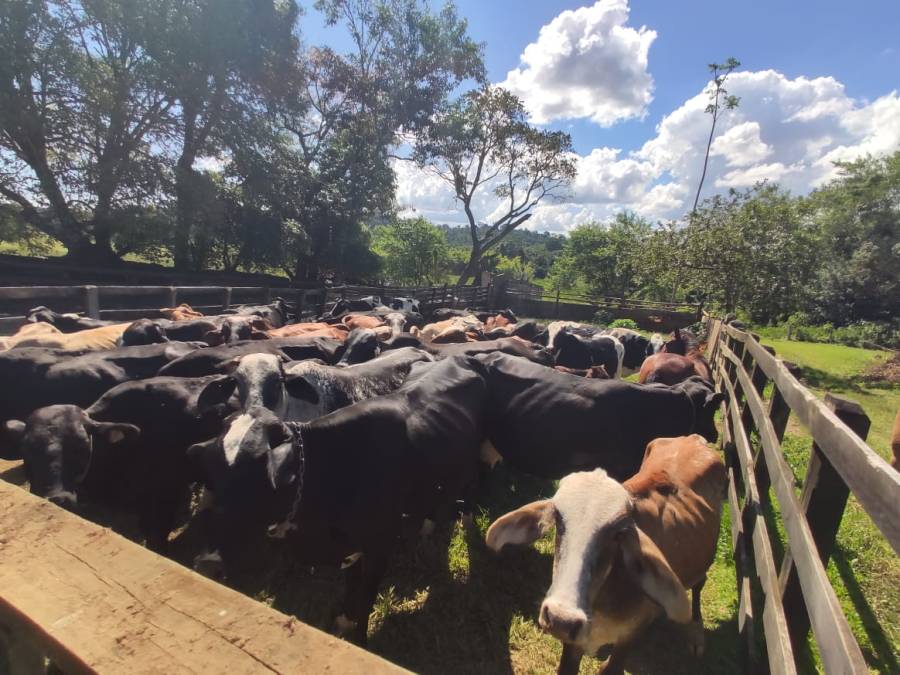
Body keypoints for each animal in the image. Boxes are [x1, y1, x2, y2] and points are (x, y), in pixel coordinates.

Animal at [186, 354, 489, 644]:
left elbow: (366, 597)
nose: (207, 564)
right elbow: (351, 589)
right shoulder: (352, 547)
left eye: (255, 476)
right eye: (213, 474)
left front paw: (360, 639)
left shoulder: (380, 545)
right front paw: (344, 622)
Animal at [486, 435, 726, 675]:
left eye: (617, 534)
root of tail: (692, 438)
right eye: (558, 519)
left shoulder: (628, 638)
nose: (561, 619)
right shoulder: (574, 643)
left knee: (699, 584)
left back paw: (696, 633)